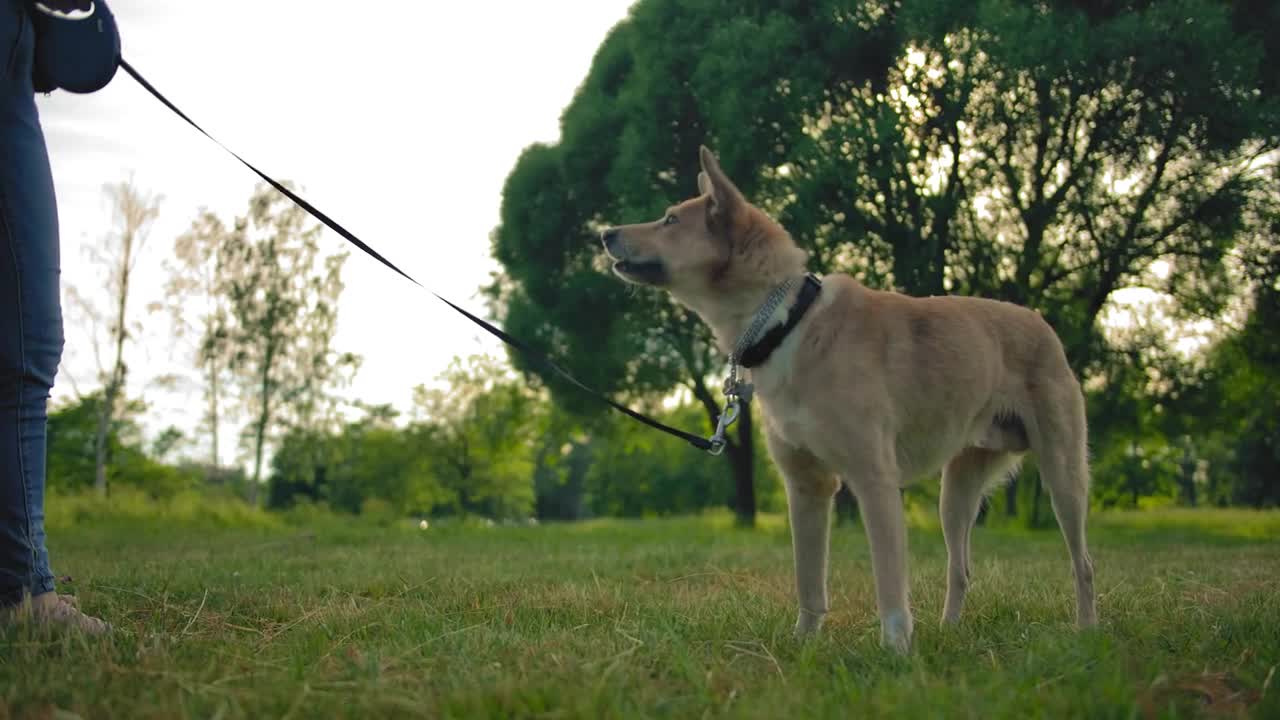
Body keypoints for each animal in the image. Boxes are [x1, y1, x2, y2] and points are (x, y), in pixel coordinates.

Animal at [596, 146, 1090, 650]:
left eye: (671, 220)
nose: (605, 233)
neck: (786, 321)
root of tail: (1040, 322)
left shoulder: (874, 480)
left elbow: (889, 586)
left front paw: (897, 653)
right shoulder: (806, 487)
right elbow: (809, 580)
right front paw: (803, 644)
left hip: (1062, 476)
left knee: (1082, 564)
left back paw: (1086, 630)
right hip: (956, 492)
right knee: (961, 569)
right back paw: (949, 630)